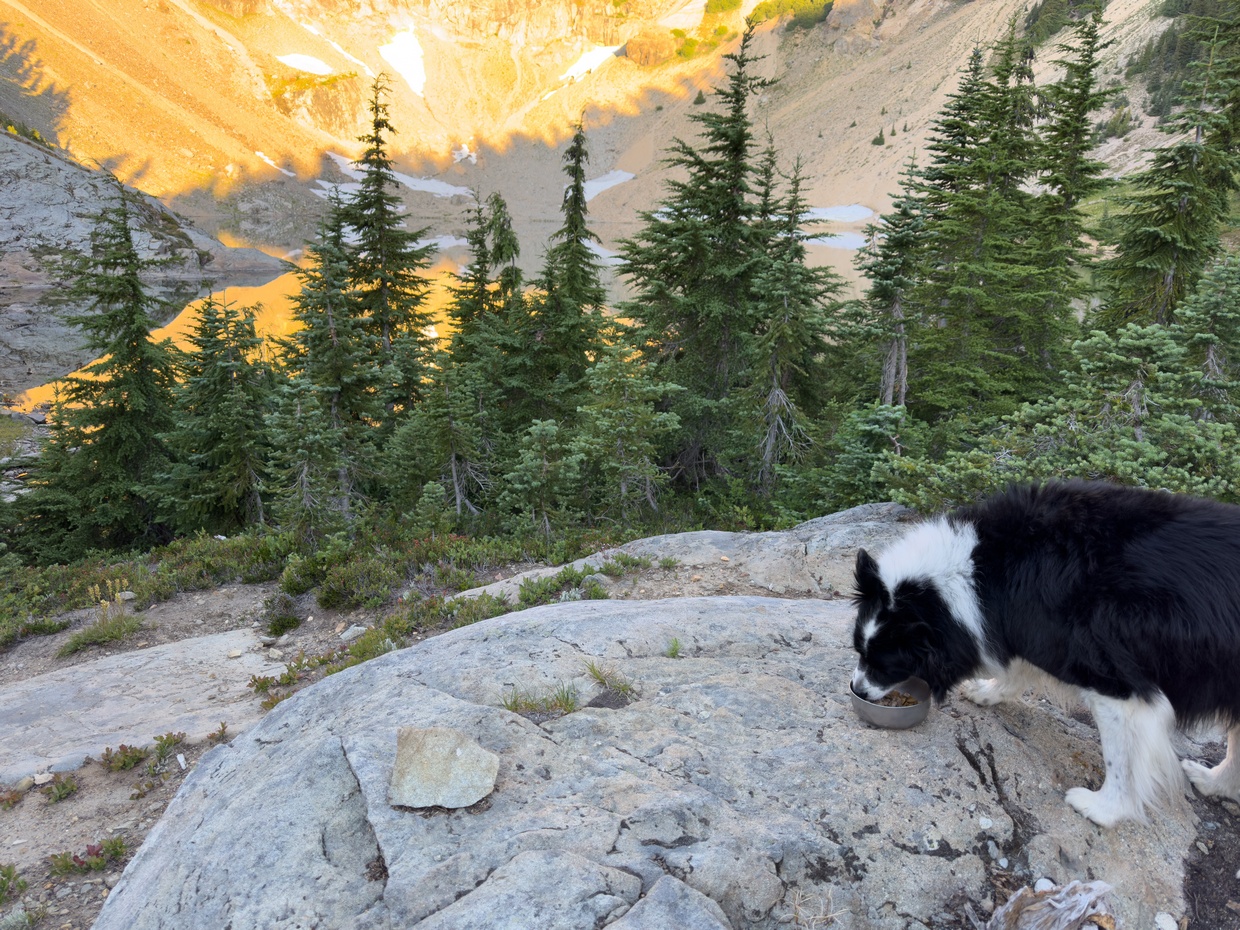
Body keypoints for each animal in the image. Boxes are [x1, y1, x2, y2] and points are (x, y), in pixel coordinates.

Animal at [849, 480, 1240, 827]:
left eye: (884, 665)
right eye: (858, 650)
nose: (857, 690)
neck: (978, 573)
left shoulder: (1110, 669)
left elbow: (1122, 753)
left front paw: (1102, 808)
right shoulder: (1027, 623)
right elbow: (1019, 664)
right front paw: (986, 691)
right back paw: (1211, 781)